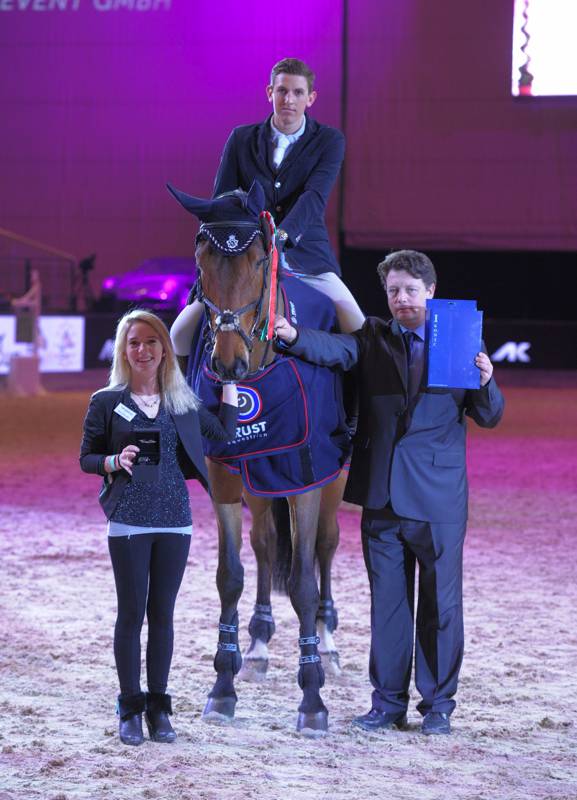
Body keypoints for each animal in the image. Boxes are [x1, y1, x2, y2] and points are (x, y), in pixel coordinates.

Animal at [165, 181, 346, 736]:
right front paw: (222, 687)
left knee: (325, 547)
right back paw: (260, 643)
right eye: (200, 260)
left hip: (332, 478)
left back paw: (328, 643)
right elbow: (230, 576)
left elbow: (305, 582)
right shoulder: (225, 476)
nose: (228, 364)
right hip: (260, 483)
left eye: (259, 258)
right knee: (266, 544)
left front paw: (313, 699)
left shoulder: (307, 476)